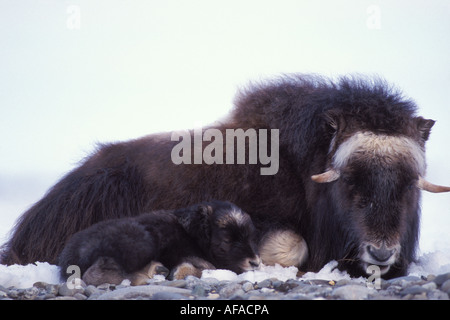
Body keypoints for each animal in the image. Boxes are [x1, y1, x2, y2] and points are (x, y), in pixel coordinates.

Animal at [58, 200, 260, 284]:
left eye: (251, 237)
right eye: (227, 240)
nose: (255, 263)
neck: (193, 233)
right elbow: (205, 265)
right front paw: (181, 272)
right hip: (141, 244)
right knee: (94, 273)